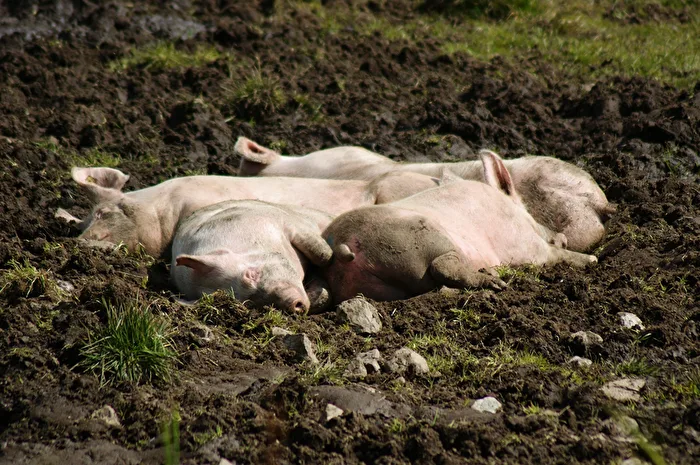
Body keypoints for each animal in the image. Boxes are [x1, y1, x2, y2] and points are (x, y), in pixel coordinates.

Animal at [322, 150, 598, 304]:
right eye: (528, 210)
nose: (561, 236)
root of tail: (342, 243)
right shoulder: (525, 245)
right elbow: (555, 255)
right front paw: (592, 259)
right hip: (418, 237)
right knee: (442, 266)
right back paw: (496, 283)